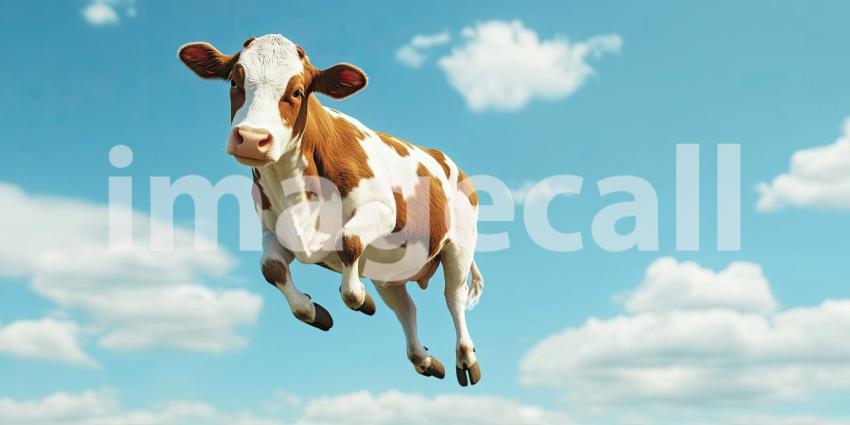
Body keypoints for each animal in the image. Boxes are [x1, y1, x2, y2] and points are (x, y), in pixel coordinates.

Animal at [178, 34, 484, 386]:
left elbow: (348, 244)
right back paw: (424, 359)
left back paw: (465, 358)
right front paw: (316, 312)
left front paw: (359, 297)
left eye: (297, 91)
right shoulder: (276, 230)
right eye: (234, 81)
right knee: (406, 308)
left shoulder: (382, 210)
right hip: (390, 272)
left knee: (454, 297)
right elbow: (271, 268)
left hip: (459, 245)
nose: (252, 139)